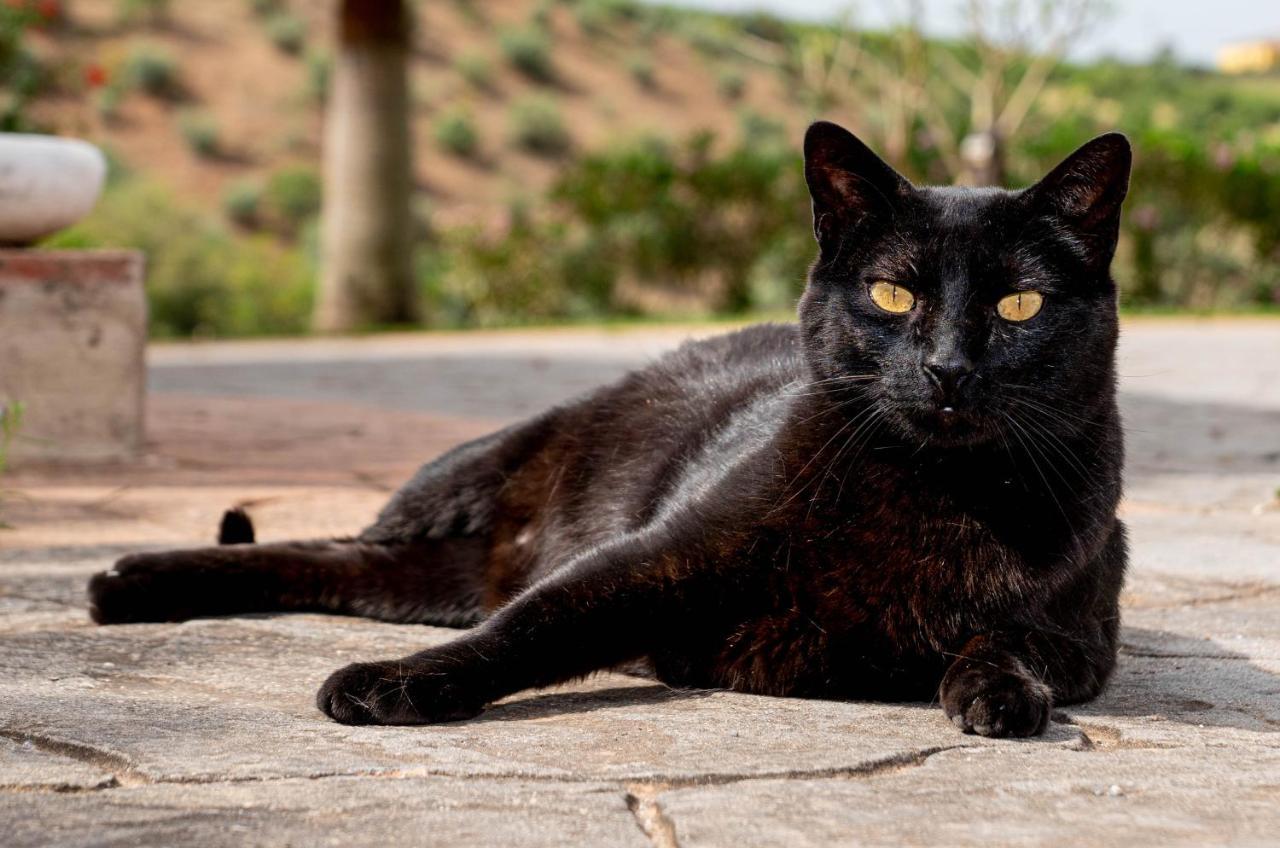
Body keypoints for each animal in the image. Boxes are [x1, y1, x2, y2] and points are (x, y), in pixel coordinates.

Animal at [90, 122, 1131, 742]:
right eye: (892, 294)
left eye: (1019, 305)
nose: (948, 368)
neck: (929, 489)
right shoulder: (654, 558)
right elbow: (532, 627)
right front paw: (398, 684)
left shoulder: (1082, 633)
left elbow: (1008, 640)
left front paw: (999, 692)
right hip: (463, 481)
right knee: (349, 550)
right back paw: (126, 582)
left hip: (430, 574)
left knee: (339, 566)